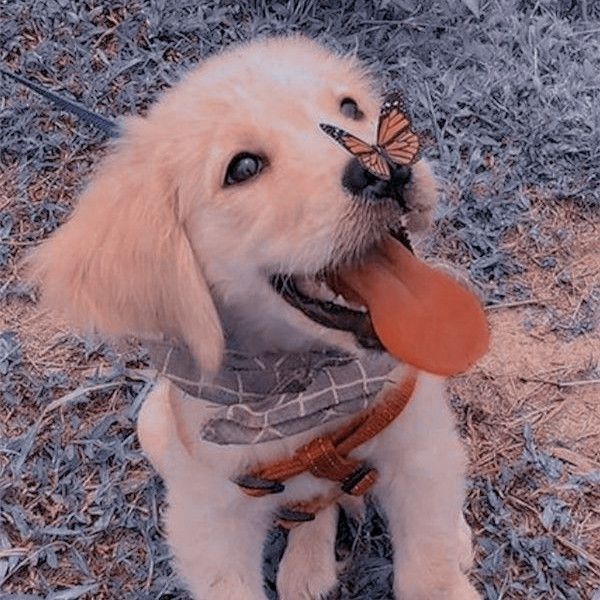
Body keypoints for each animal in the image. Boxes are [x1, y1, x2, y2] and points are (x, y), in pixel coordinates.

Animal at [31, 35, 482, 596]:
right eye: (243, 168)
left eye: (351, 109)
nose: (390, 169)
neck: (305, 390)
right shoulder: (209, 520)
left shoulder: (418, 447)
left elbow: (430, 567)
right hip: (153, 425)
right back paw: (307, 566)